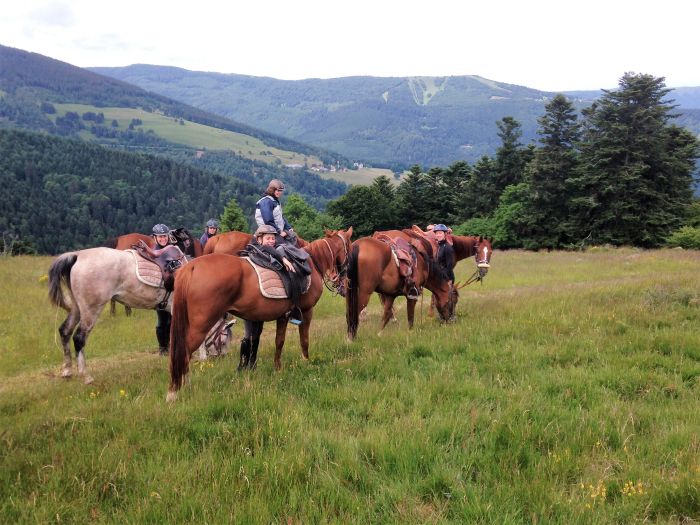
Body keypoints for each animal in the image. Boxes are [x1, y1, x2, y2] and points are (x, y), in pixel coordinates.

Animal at [167, 226, 352, 402]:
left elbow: (279, 341)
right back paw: (175, 391)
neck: (311, 263)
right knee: (184, 352)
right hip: (201, 325)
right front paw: (306, 361)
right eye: (349, 247)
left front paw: (278, 368)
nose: (344, 280)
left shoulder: (283, 316)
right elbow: (304, 340)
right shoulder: (306, 311)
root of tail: (190, 267)